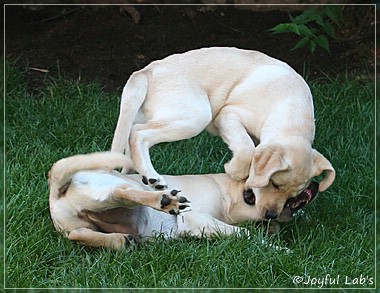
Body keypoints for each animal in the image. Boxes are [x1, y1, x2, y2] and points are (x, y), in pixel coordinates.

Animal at [49, 151, 320, 249]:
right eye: (284, 182)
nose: (315, 184)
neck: (229, 191)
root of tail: (57, 189)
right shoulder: (200, 220)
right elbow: (246, 234)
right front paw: (278, 249)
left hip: (82, 224)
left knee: (78, 234)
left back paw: (120, 241)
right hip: (114, 189)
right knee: (122, 193)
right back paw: (163, 200)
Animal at [110, 46, 336, 219]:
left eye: (292, 195)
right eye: (274, 184)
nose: (271, 215)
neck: (292, 116)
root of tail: (146, 71)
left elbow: (250, 151)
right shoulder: (228, 115)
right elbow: (246, 150)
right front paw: (234, 170)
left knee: (130, 141)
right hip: (197, 115)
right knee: (138, 134)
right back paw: (153, 177)